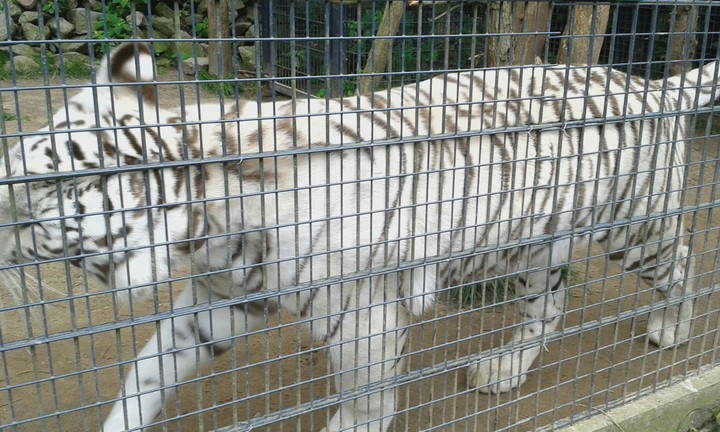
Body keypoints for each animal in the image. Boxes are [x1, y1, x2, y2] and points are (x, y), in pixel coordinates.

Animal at [0, 42, 716, 432]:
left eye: (26, 206)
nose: (1, 243)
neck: (210, 231)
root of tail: (655, 85)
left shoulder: (365, 320)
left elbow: (363, 406)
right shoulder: (214, 306)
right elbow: (142, 380)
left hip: (638, 224)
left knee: (682, 262)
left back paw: (672, 327)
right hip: (539, 245)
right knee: (549, 304)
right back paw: (503, 368)